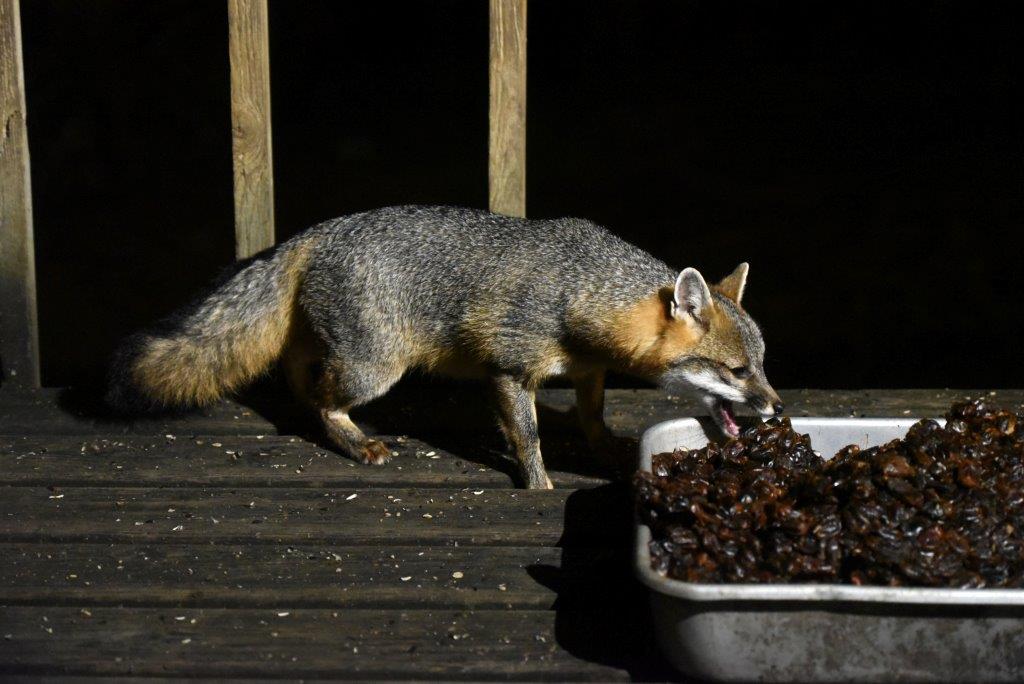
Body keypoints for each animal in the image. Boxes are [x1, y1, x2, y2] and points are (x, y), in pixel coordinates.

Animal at [108, 205, 783, 489]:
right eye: (736, 371)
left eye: (763, 365)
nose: (776, 408)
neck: (581, 289)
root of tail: (314, 231)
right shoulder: (507, 371)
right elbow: (528, 437)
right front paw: (539, 484)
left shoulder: (588, 370)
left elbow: (592, 415)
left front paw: (605, 444)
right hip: (375, 369)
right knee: (324, 398)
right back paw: (354, 439)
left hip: (343, 350)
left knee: (298, 367)